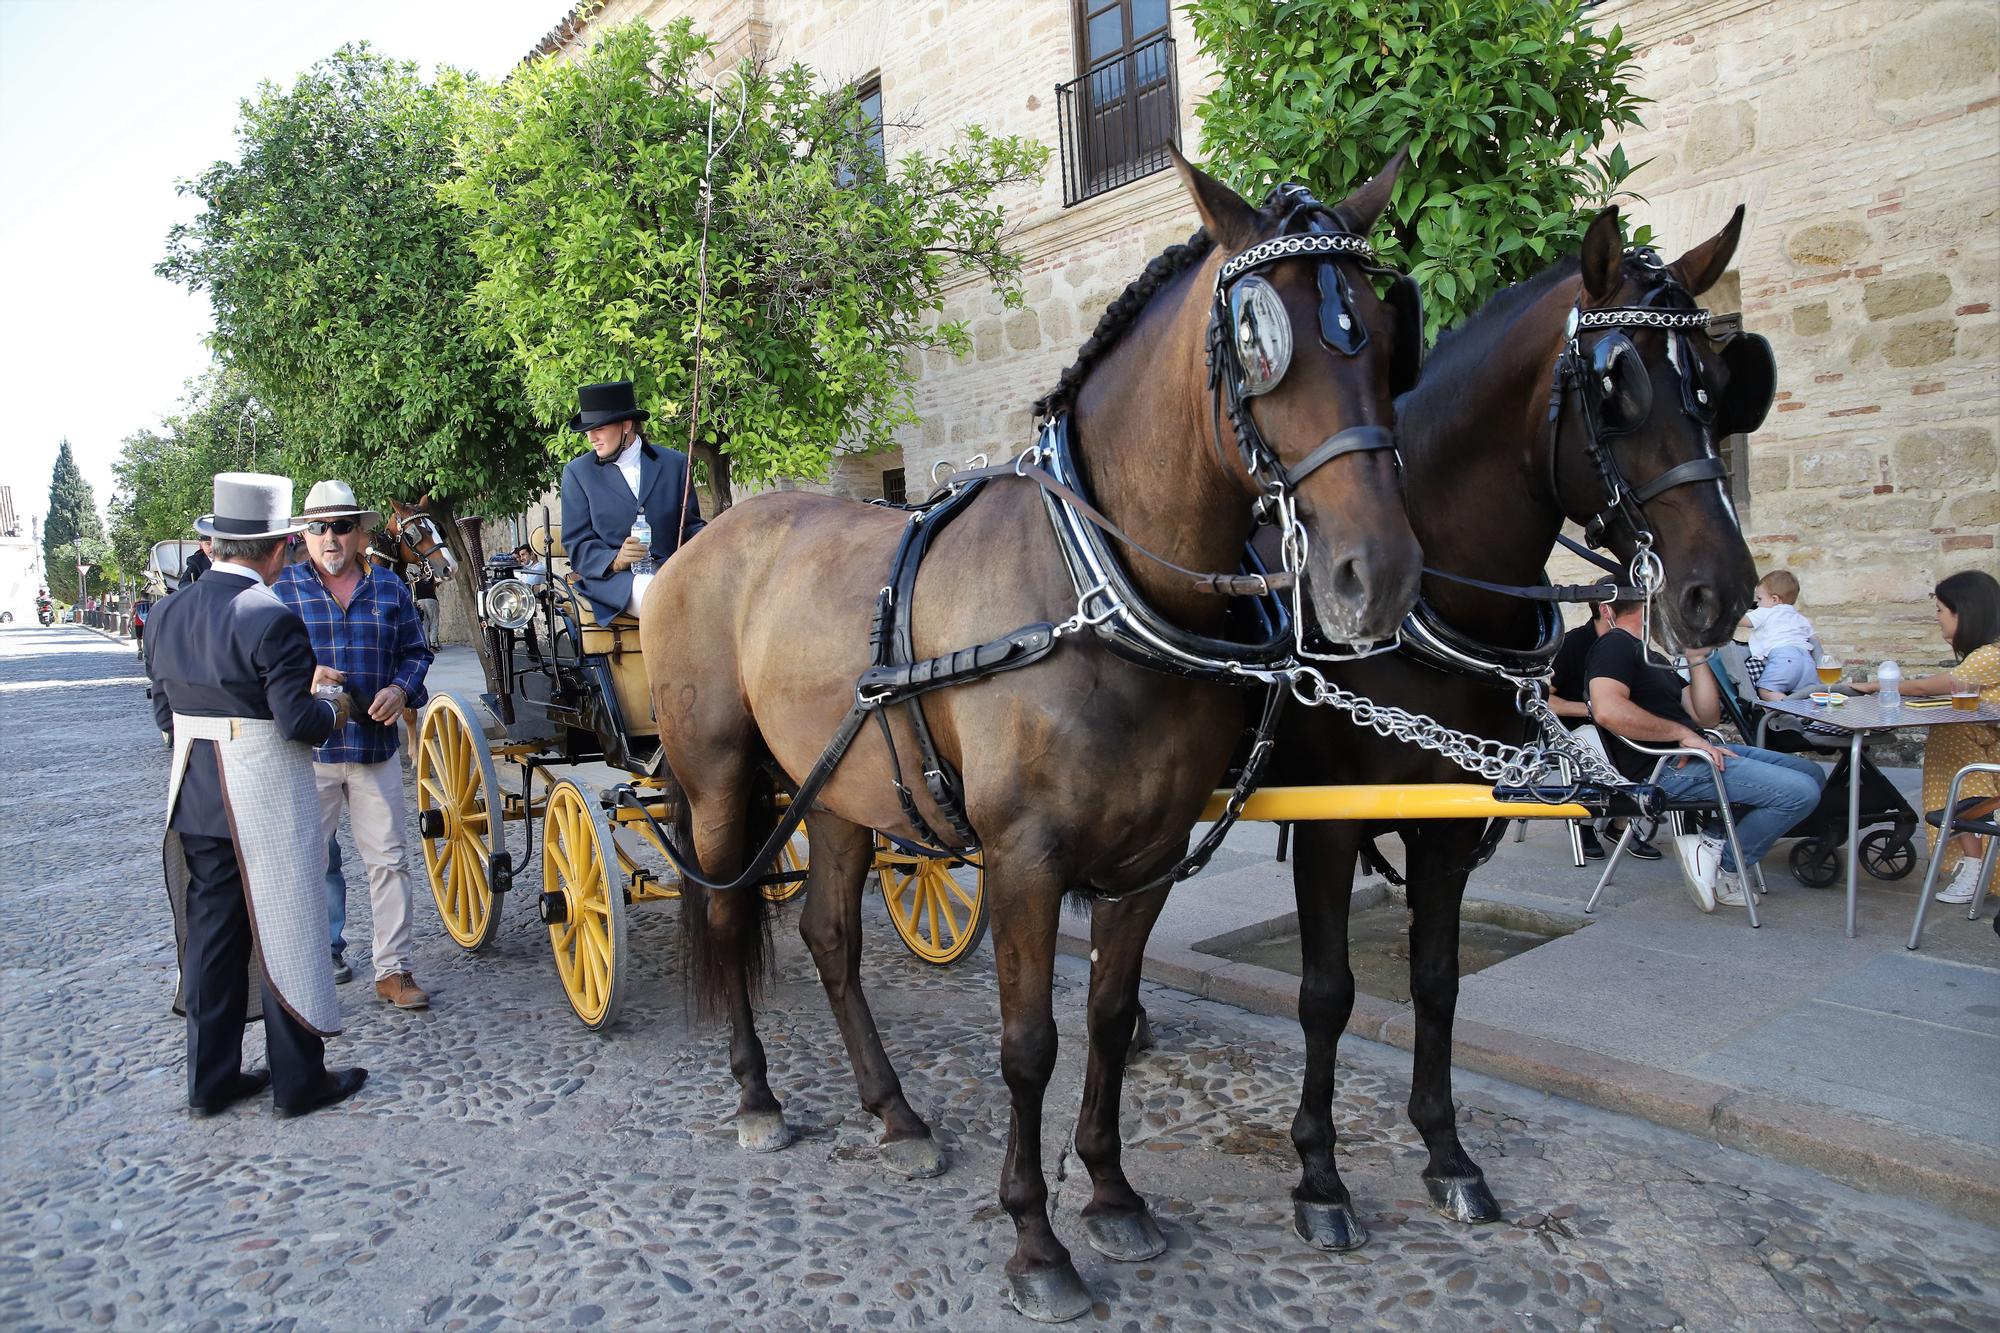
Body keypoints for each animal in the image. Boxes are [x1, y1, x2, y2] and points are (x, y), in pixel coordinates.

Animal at [640, 148, 1424, 1320]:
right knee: (733, 917)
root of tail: (700, 539)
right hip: (720, 780)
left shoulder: (1146, 858)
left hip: (840, 787)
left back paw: (894, 1112)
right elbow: (1027, 1044)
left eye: (1382, 325)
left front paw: (1108, 1192)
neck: (1096, 587)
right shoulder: (1022, 860)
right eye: (1257, 340)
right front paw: (1035, 1240)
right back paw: (757, 1096)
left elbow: (1105, 1015)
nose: (1374, 575)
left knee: (829, 935)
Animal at [1112, 205, 1768, 1248]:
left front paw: (1447, 1154)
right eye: (1617, 388)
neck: (1432, 600)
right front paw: (1320, 1175)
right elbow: (1328, 992)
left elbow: (1435, 978)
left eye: (1713, 384)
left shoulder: (1449, 822)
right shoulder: (1330, 824)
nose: (1722, 590)